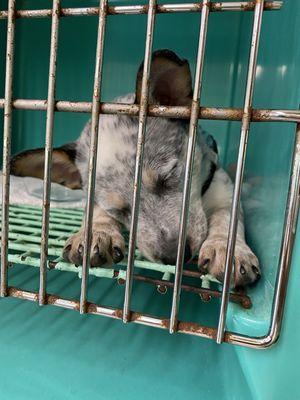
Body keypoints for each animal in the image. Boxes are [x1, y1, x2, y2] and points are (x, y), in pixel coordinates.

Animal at [10, 49, 260, 288]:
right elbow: (96, 212)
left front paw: (227, 249)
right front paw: (96, 232)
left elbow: (227, 219)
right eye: (120, 211)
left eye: (168, 177)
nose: (173, 257)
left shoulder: (225, 192)